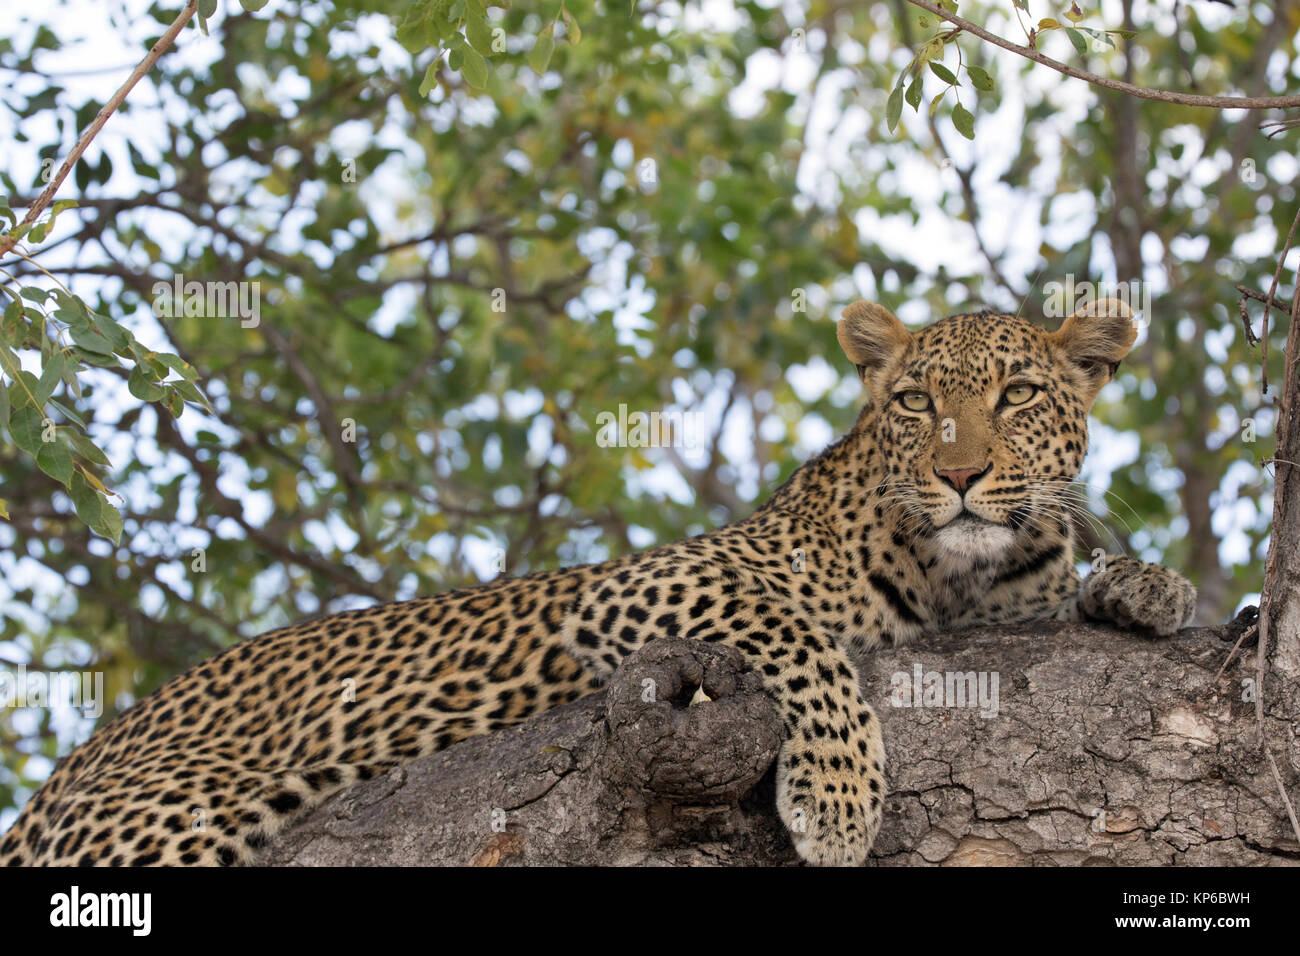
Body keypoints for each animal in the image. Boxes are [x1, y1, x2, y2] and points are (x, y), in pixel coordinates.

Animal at [0, 297, 1196, 868]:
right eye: (913, 402)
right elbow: (801, 639)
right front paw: (839, 796)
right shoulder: (645, 585)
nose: (958, 476)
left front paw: (1145, 586)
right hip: (163, 821)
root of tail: (68, 769)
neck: (956, 581)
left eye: (1019, 393)